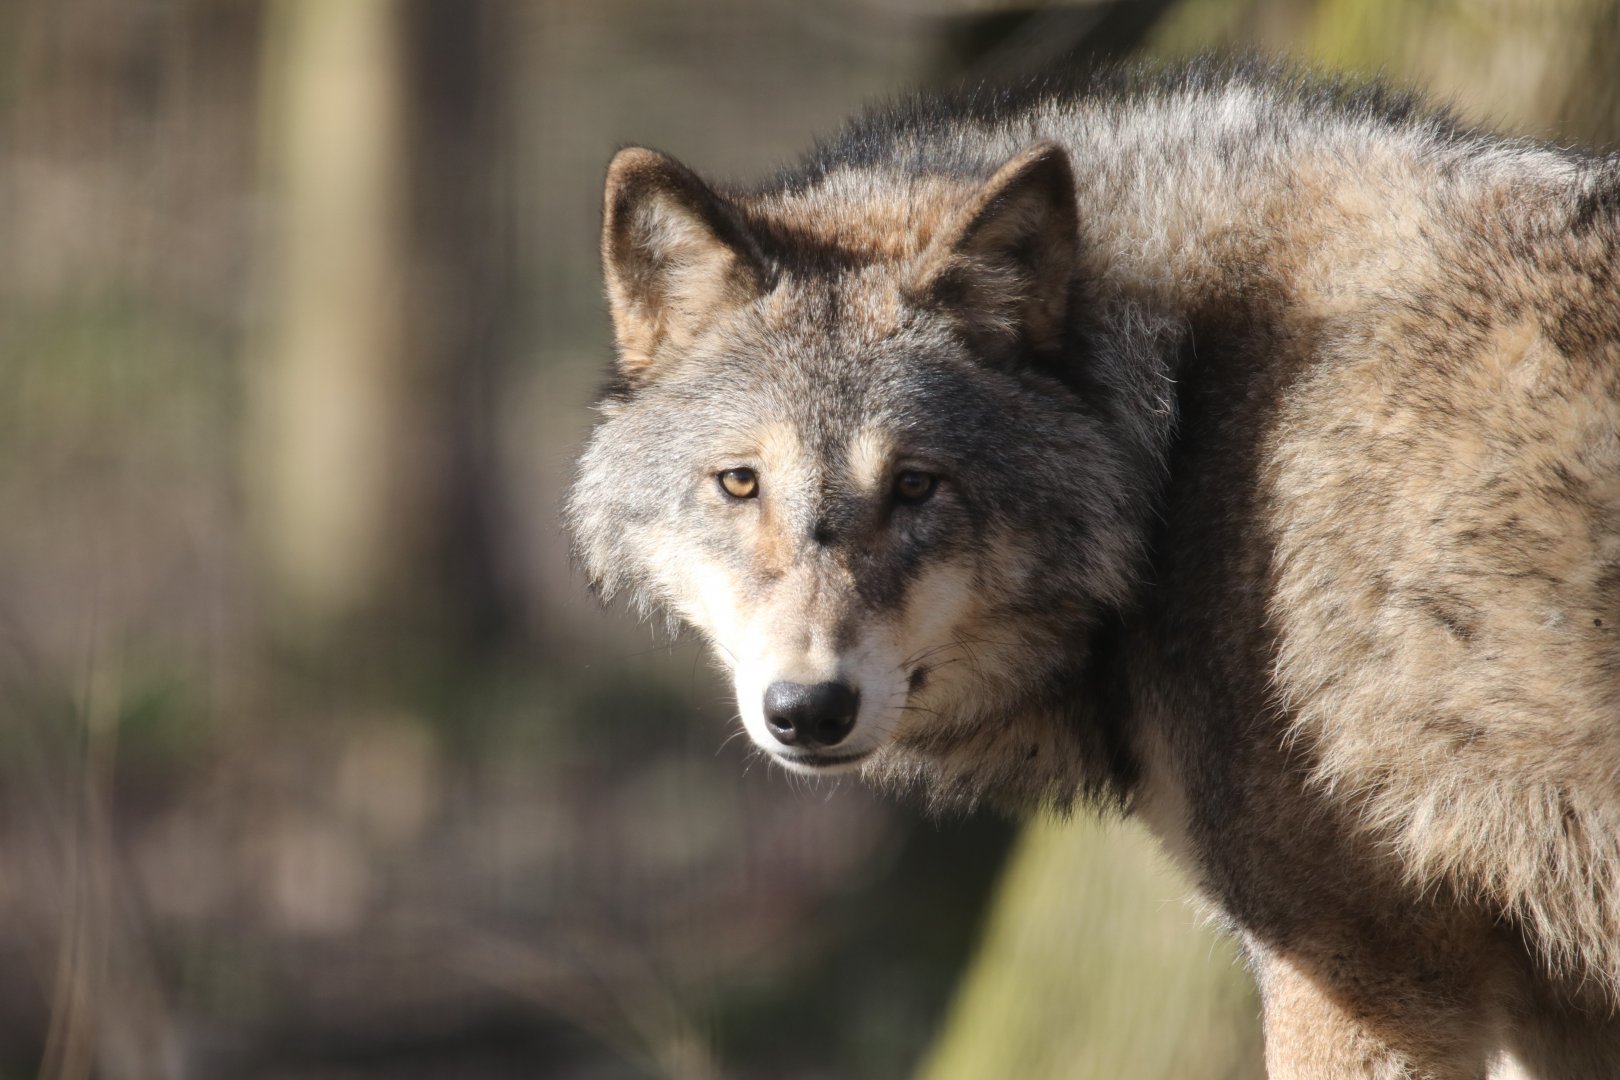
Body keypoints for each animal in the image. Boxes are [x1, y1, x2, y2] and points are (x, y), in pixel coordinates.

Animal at [566, 60, 1620, 1077]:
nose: (808, 710)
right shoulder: (1544, 1005)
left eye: (916, 485)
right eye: (740, 483)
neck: (1179, 428)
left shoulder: (1364, 970)